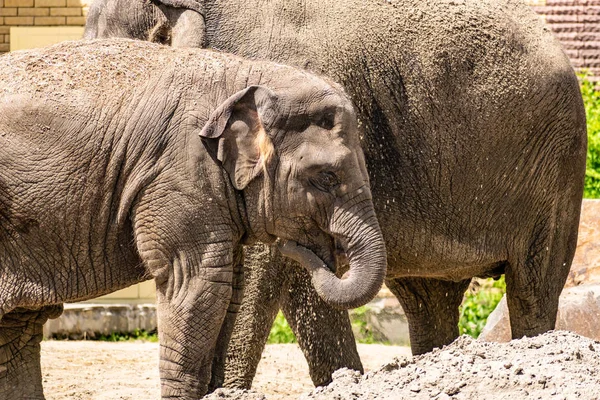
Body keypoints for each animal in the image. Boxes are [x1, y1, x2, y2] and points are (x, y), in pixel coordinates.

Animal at [0, 38, 386, 400]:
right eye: (326, 177)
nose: (293, 246)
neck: (246, 76)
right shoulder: (181, 175)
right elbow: (198, 283)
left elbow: (230, 288)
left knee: (17, 328)